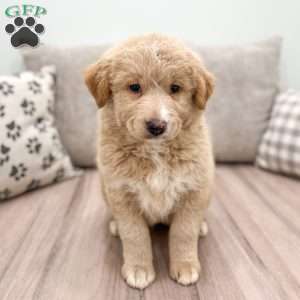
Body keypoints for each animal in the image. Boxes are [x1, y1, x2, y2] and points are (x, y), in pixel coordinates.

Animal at [85, 32, 214, 288]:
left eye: (175, 88)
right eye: (134, 87)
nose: (157, 126)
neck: (155, 153)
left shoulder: (194, 189)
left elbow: (184, 232)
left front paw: (185, 266)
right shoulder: (121, 193)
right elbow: (135, 235)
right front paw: (139, 269)